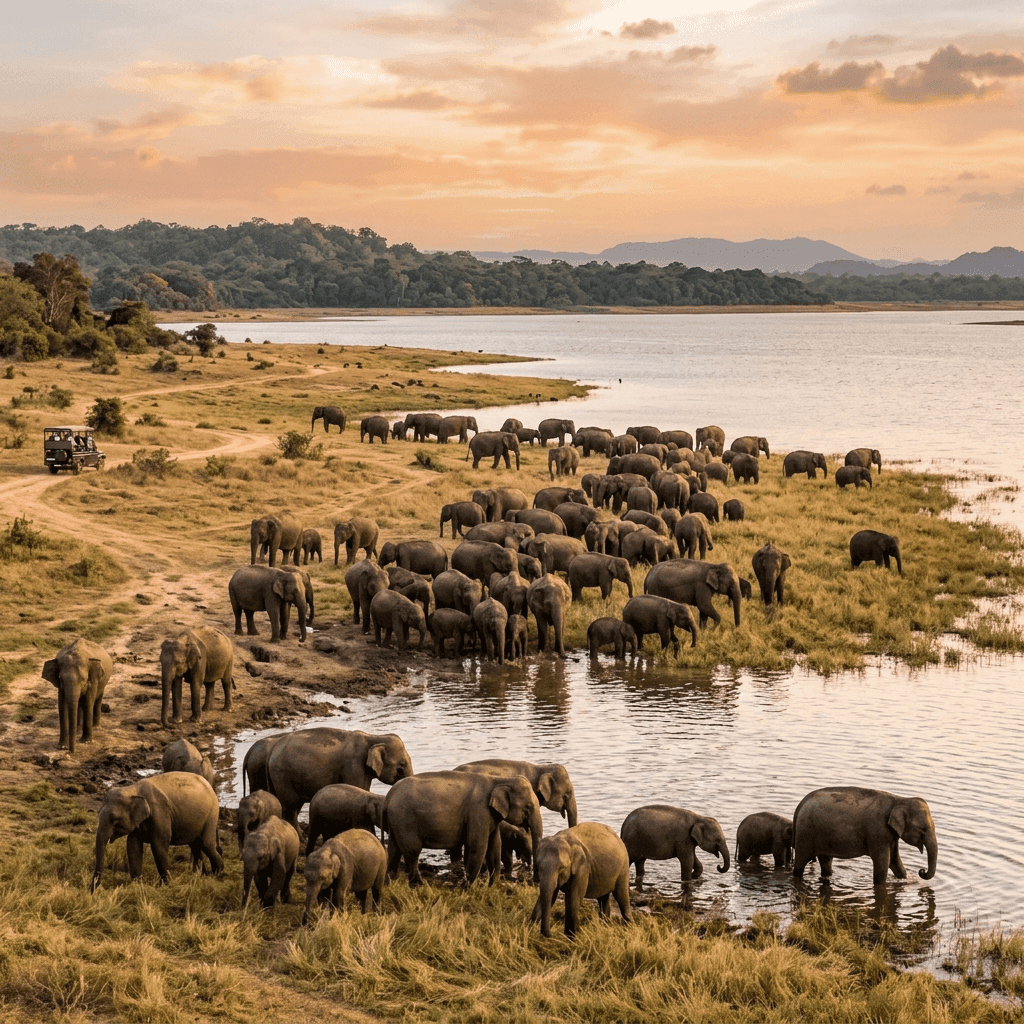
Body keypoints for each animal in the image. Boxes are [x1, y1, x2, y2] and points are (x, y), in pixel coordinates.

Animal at [91, 772, 222, 891]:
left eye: (114, 820)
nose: (94, 891)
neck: (132, 789)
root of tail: (210, 786)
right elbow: (133, 846)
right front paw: (137, 886)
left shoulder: (160, 813)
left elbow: (158, 847)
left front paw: (166, 885)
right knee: (195, 845)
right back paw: (201, 876)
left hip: (212, 815)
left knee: (206, 844)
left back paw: (217, 874)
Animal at [267, 727, 414, 825]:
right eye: (401, 766)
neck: (373, 737)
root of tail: (273, 750)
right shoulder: (353, 765)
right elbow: (358, 789)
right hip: (281, 775)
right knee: (290, 806)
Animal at [382, 771, 543, 886]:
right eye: (528, 807)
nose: (534, 881)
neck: (499, 780)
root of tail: (389, 795)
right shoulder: (478, 811)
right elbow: (478, 846)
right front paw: (466, 888)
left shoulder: (490, 816)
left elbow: (494, 846)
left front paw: (494, 886)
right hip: (404, 820)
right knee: (412, 852)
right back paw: (418, 884)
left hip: (395, 822)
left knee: (394, 849)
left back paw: (391, 880)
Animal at [792, 786, 937, 884]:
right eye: (923, 829)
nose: (921, 871)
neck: (900, 799)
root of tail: (800, 805)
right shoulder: (878, 831)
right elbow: (883, 862)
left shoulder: (890, 834)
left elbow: (895, 860)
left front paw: (904, 880)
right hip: (805, 833)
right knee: (800, 862)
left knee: (826, 861)